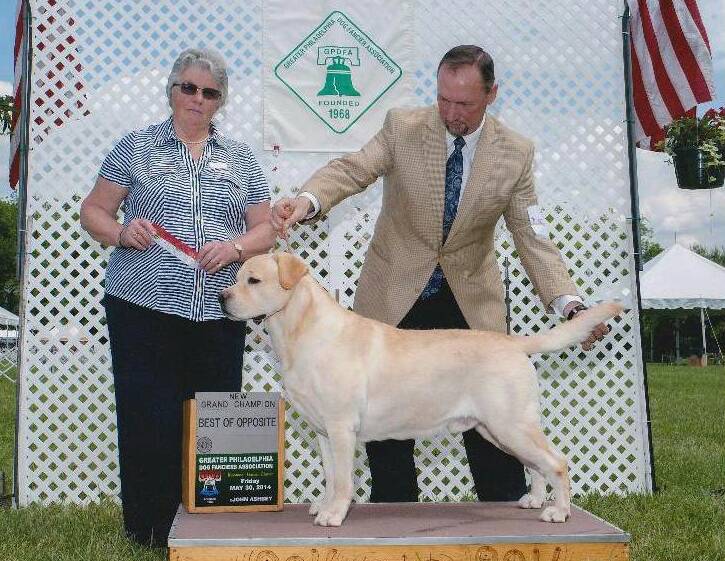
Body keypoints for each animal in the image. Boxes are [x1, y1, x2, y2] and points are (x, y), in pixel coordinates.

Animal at [219, 252, 623, 527]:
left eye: (253, 280)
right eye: (235, 277)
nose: (223, 297)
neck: (300, 330)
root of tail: (515, 343)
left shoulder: (341, 427)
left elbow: (345, 479)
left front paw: (334, 514)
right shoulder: (322, 430)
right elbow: (331, 475)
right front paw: (323, 504)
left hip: (511, 425)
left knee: (556, 462)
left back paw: (559, 511)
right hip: (498, 430)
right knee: (536, 465)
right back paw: (534, 500)